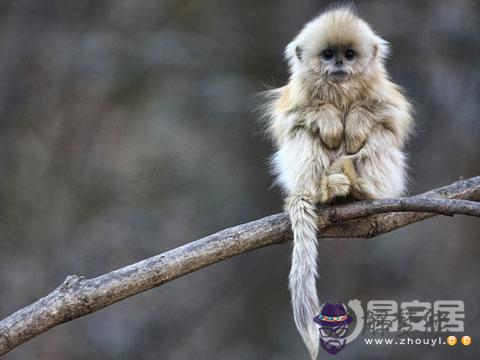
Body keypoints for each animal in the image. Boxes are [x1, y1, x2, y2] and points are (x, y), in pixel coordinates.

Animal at [262, 6, 412, 360]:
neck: (340, 90)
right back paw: (326, 190)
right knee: (303, 133)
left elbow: (391, 117)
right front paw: (330, 119)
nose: (340, 64)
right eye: (328, 55)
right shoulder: (296, 97)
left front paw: (355, 121)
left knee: (380, 134)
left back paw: (360, 188)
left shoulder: (383, 93)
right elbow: (293, 119)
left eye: (349, 54)